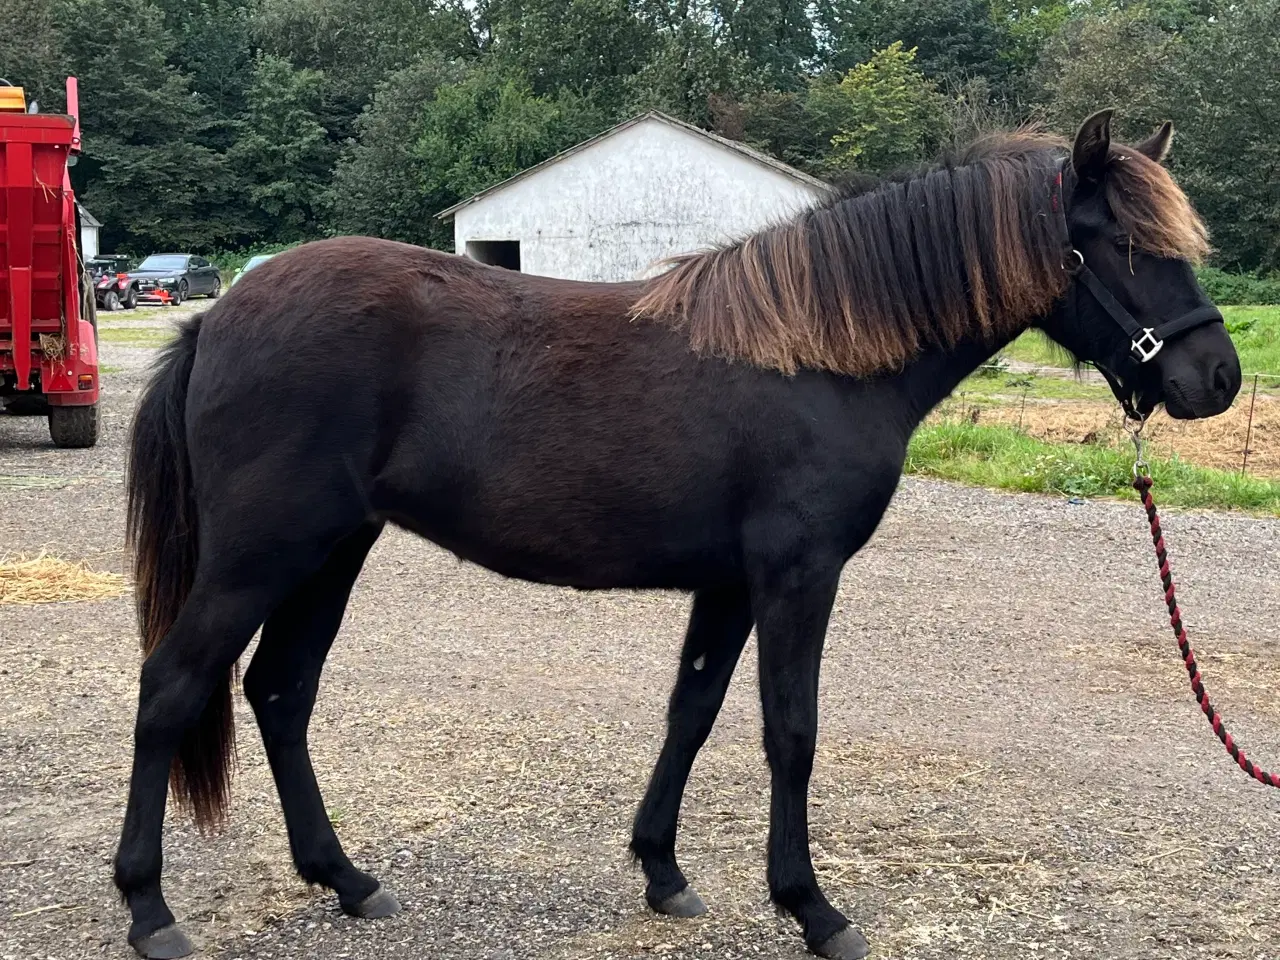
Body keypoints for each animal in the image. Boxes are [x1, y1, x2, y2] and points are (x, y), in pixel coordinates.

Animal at [117, 114, 1239, 960]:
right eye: (1126, 246)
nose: (1217, 381)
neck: (817, 357)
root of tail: (214, 319)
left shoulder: (730, 584)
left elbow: (690, 713)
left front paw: (662, 871)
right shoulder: (796, 576)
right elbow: (791, 731)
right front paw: (812, 908)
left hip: (332, 551)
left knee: (279, 692)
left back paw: (346, 879)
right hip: (263, 555)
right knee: (174, 686)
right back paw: (149, 909)